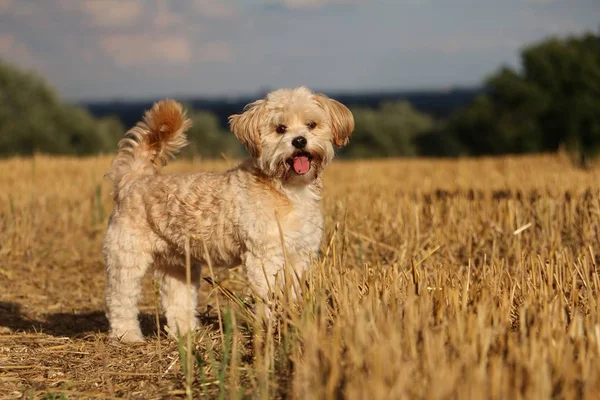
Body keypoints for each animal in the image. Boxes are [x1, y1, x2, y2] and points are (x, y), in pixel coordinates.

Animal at [103, 86, 354, 342]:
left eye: (311, 124)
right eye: (280, 128)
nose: (300, 140)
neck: (287, 188)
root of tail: (134, 179)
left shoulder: (299, 254)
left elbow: (292, 292)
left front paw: (294, 322)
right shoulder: (264, 256)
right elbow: (268, 294)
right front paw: (270, 327)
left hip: (178, 265)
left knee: (177, 300)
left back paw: (186, 333)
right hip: (127, 257)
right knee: (120, 299)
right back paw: (127, 335)